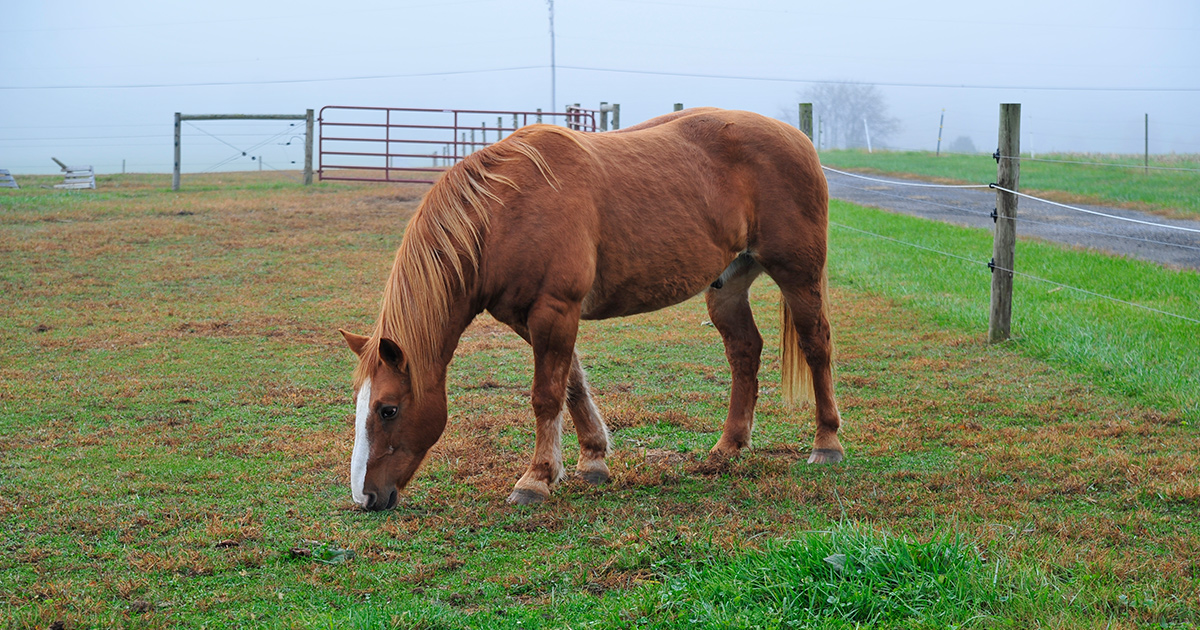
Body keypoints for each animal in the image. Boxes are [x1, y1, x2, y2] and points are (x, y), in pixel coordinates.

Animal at [338, 106, 844, 511]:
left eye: (387, 409)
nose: (365, 497)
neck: (505, 211)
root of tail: (797, 137)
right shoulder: (529, 318)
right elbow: (573, 385)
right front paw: (593, 460)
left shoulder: (554, 310)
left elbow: (546, 396)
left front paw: (535, 480)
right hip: (727, 286)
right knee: (744, 352)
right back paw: (729, 446)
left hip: (797, 274)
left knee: (816, 345)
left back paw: (827, 443)